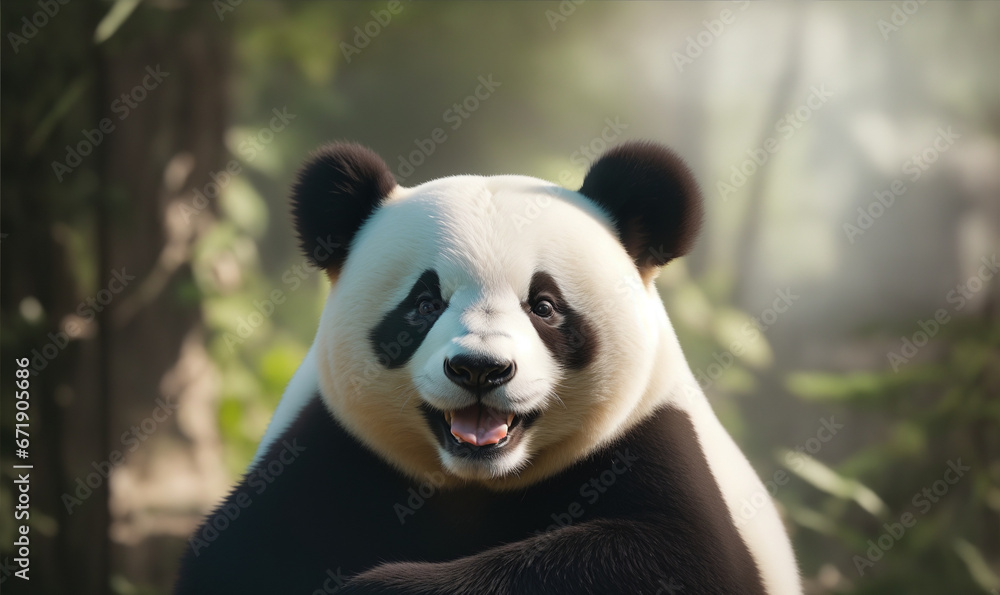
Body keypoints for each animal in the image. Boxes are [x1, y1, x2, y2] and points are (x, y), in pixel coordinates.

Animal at [175, 141, 801, 594]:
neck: (477, 482)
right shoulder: (331, 450)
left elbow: (669, 556)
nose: (480, 369)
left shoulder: (651, 438)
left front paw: (379, 588)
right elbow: (233, 556)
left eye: (544, 306)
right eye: (425, 303)